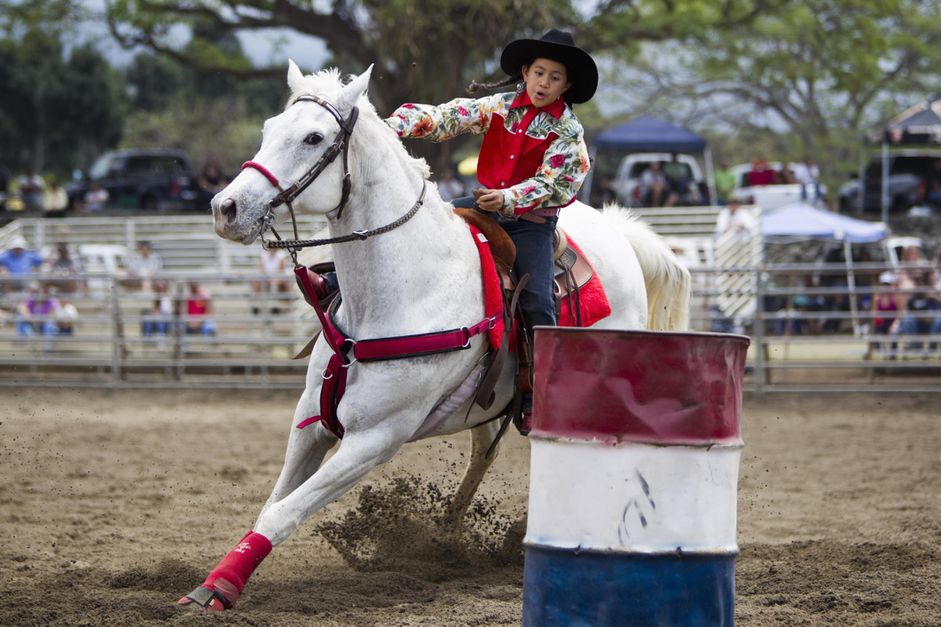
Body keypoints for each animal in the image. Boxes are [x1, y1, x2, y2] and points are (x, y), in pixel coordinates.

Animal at [184, 61, 688, 612]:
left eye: (313, 137)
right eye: (269, 128)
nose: (226, 208)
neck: (401, 291)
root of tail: (621, 235)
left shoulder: (376, 439)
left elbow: (283, 512)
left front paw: (220, 588)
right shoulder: (310, 423)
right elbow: (271, 504)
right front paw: (215, 579)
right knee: (484, 451)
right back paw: (446, 538)